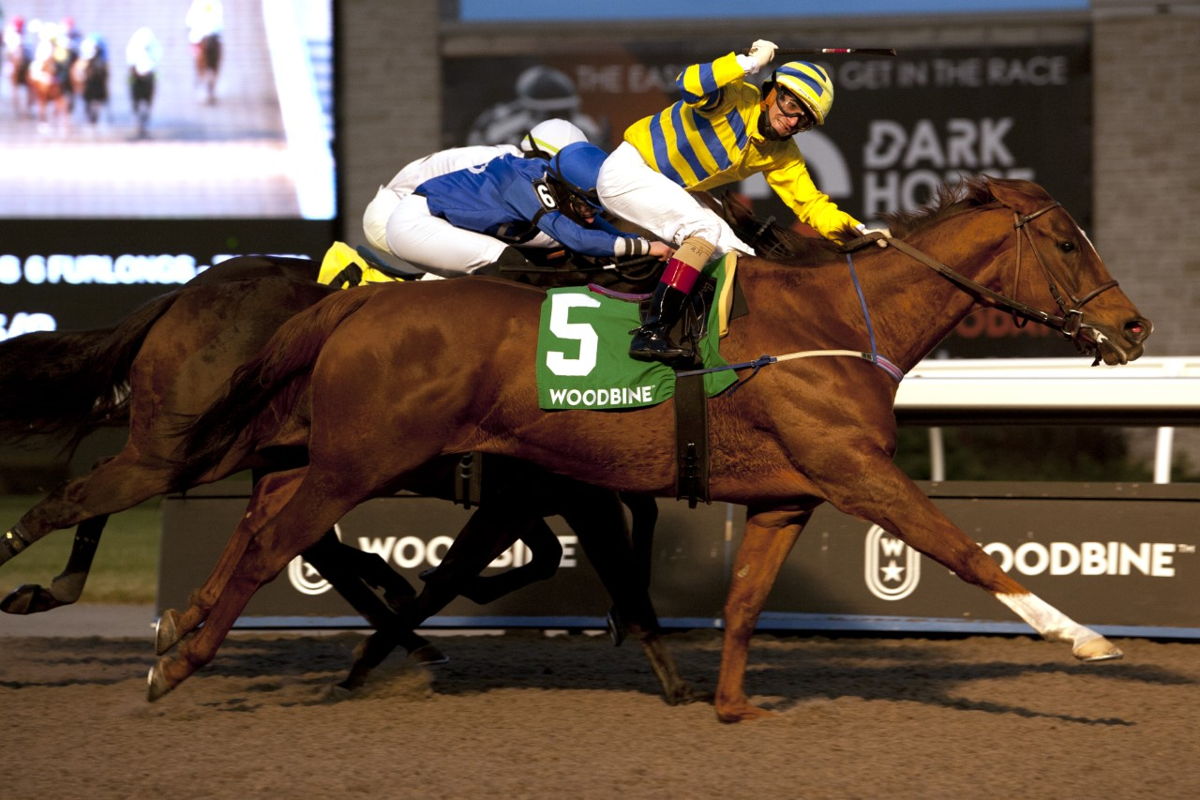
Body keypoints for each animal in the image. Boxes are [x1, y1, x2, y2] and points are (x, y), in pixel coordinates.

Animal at [154, 178, 1147, 724]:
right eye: (1067, 241)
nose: (1134, 327)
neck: (833, 324)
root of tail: (362, 300)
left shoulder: (788, 496)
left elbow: (743, 602)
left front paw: (731, 704)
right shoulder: (857, 472)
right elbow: (967, 552)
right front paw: (1087, 641)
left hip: (324, 456)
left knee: (259, 526)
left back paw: (180, 628)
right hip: (358, 462)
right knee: (273, 546)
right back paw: (180, 663)